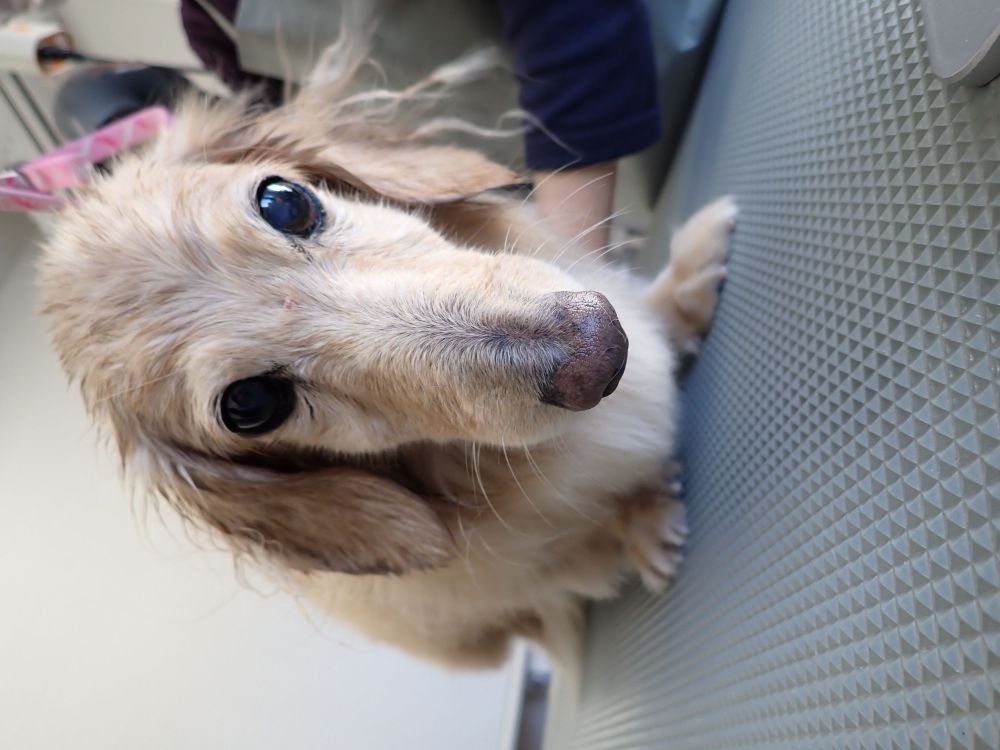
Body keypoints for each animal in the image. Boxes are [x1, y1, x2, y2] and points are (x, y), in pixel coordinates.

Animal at [39, 50, 736, 669]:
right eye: (250, 405)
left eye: (283, 201)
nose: (601, 349)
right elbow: (574, 562)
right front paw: (643, 523)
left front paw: (688, 277)